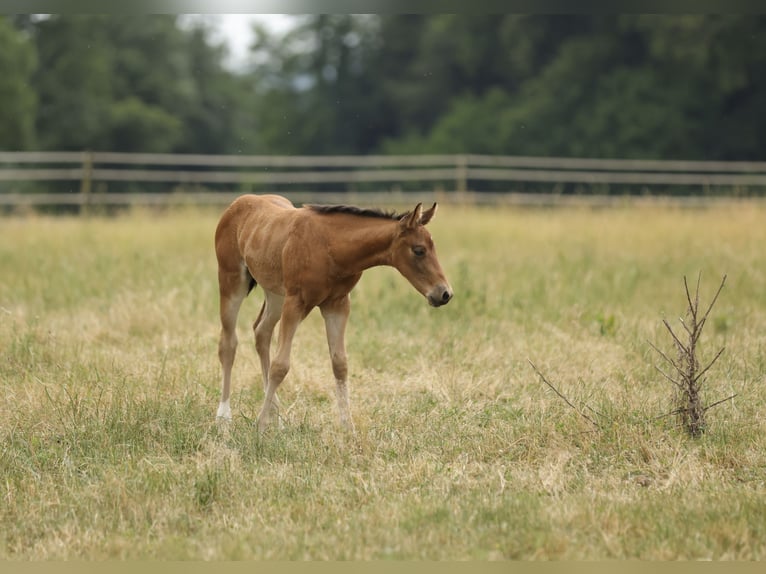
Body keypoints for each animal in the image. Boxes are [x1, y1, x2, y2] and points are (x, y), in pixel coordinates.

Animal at [214, 194, 453, 431]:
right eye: (419, 250)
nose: (444, 293)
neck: (331, 248)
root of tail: (238, 203)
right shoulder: (296, 302)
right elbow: (280, 365)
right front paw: (261, 427)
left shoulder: (337, 305)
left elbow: (340, 364)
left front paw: (348, 427)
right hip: (232, 281)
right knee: (229, 343)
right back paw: (224, 416)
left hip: (275, 293)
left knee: (261, 332)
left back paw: (276, 414)